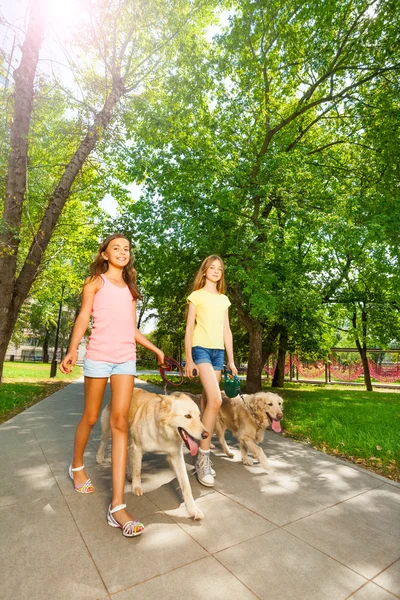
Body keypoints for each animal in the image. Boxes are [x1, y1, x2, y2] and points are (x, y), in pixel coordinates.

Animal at [97, 390, 209, 520]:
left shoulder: (176, 456)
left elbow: (186, 485)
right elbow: (138, 470)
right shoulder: (138, 447)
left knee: (128, 453)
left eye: (199, 416)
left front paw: (193, 509)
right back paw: (100, 457)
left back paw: (129, 474)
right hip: (111, 429)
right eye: (187, 416)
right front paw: (136, 487)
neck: (163, 430)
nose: (206, 435)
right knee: (103, 441)